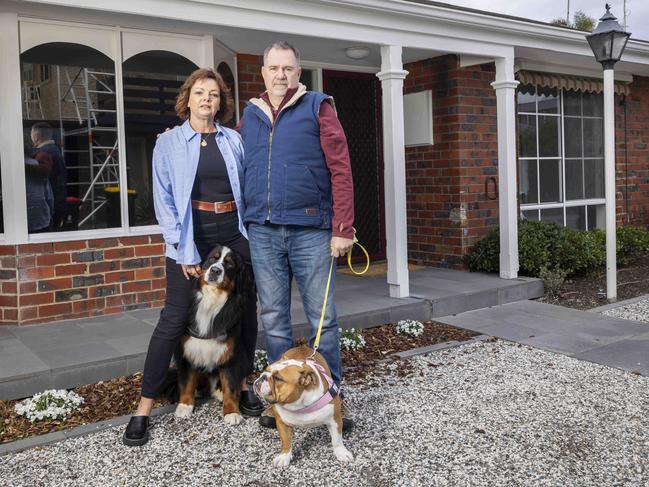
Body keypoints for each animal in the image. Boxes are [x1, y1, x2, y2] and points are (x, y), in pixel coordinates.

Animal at [172, 246, 253, 426]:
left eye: (229, 264)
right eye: (211, 259)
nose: (215, 270)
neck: (212, 299)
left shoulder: (230, 353)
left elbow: (231, 385)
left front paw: (231, 411)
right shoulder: (188, 350)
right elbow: (187, 381)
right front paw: (185, 405)